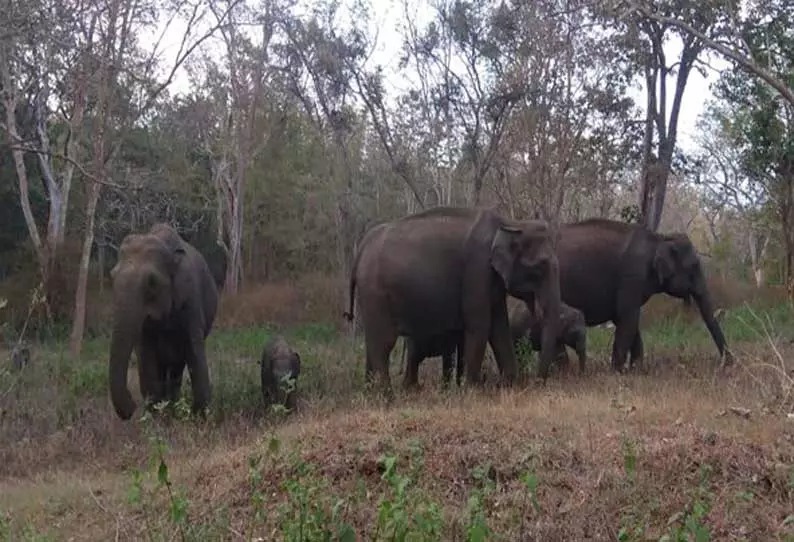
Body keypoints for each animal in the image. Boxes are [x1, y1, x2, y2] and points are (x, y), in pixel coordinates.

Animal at [108, 223, 218, 422]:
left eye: (152, 282)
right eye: (111, 276)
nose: (132, 407)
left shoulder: (190, 298)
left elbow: (193, 349)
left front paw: (200, 416)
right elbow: (146, 354)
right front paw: (156, 416)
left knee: (177, 366)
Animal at [344, 206, 560, 398]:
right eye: (541, 266)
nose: (537, 383)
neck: (511, 223)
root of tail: (361, 249)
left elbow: (499, 328)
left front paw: (506, 386)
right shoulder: (476, 269)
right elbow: (480, 326)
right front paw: (473, 391)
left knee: (373, 343)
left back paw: (371, 394)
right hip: (375, 293)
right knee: (384, 343)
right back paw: (387, 397)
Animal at [552, 219, 732, 372]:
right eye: (694, 266)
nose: (727, 364)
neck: (660, 238)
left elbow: (627, 321)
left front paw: (636, 369)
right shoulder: (632, 276)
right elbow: (627, 317)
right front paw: (618, 372)